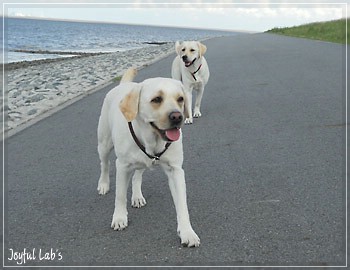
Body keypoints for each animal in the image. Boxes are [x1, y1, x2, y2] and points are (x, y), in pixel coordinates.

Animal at [96, 68, 200, 247]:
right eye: (156, 99)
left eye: (180, 99)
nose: (177, 117)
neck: (152, 139)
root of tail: (123, 85)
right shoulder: (122, 166)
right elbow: (120, 196)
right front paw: (119, 218)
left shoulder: (176, 170)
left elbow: (182, 205)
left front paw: (187, 232)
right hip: (104, 143)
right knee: (104, 164)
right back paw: (103, 185)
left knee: (138, 175)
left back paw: (137, 196)